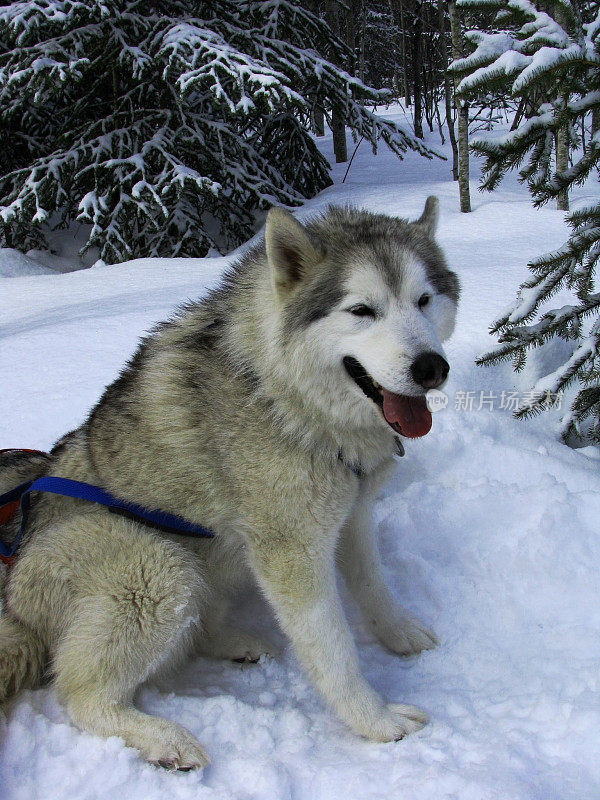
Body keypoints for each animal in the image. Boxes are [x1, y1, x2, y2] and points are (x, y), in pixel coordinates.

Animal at [0, 198, 460, 768]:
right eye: (361, 311)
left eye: (424, 300)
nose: (431, 367)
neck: (285, 396)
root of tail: (15, 600)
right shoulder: (292, 551)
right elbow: (334, 651)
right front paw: (376, 721)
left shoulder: (350, 513)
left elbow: (373, 584)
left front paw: (398, 632)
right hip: (153, 568)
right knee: (81, 695)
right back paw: (163, 738)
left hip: (210, 563)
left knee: (197, 629)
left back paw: (235, 643)